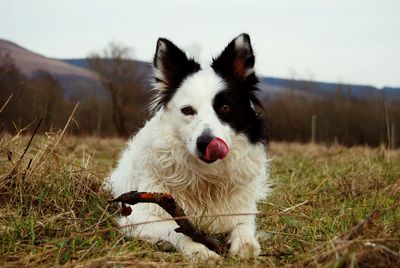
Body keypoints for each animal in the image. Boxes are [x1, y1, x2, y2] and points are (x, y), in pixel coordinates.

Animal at [106, 33, 270, 260]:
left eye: (225, 107)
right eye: (187, 110)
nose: (206, 142)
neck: (208, 179)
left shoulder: (242, 208)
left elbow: (243, 226)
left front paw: (245, 244)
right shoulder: (139, 216)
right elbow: (177, 229)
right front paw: (200, 250)